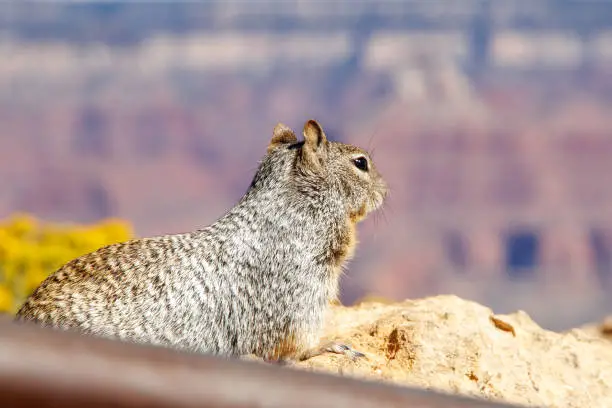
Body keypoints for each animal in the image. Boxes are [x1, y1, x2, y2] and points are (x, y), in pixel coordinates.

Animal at [15, 120, 388, 364]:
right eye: (361, 162)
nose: (385, 191)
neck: (290, 213)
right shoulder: (297, 293)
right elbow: (294, 345)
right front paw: (332, 346)